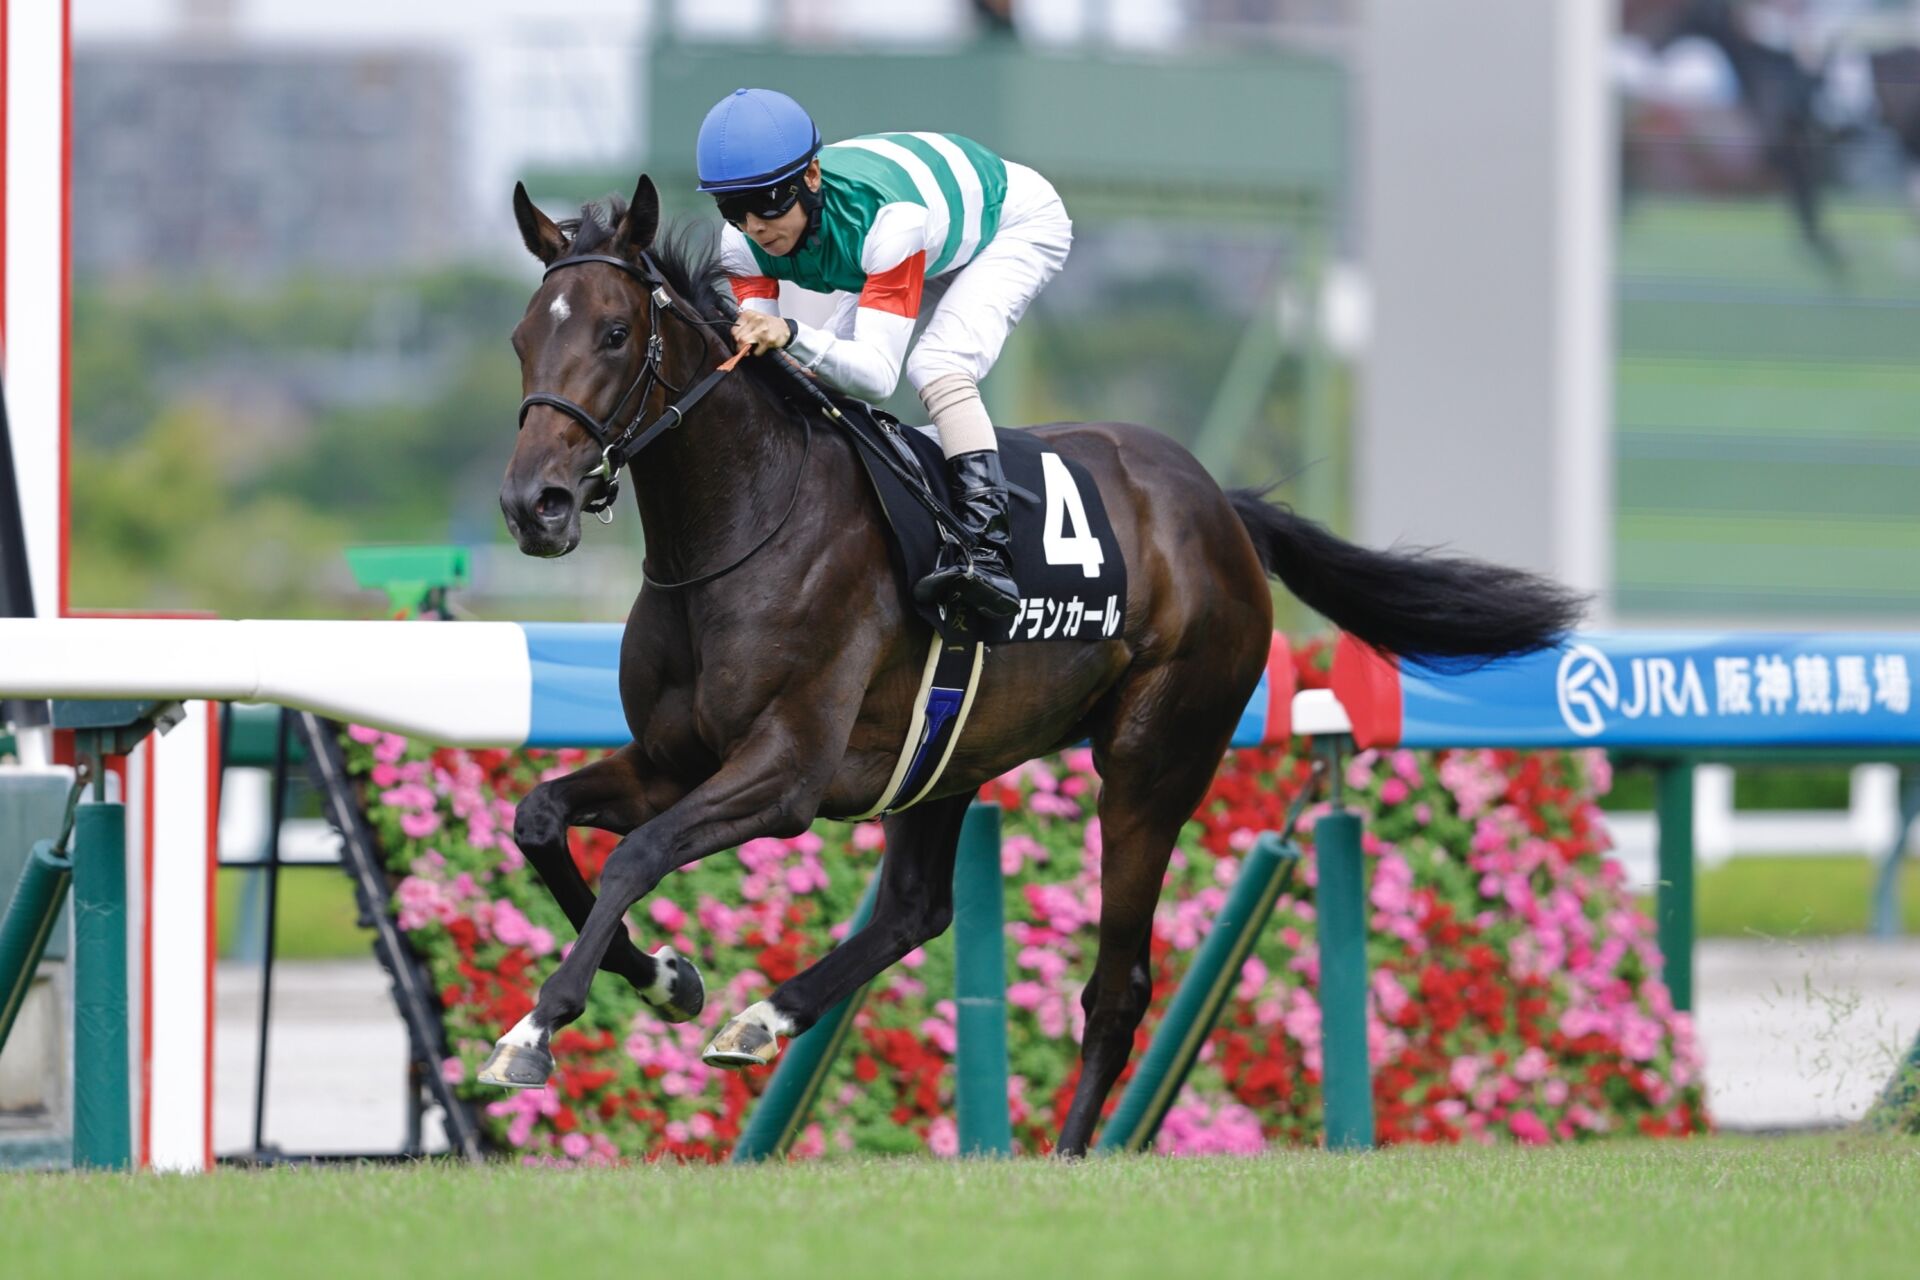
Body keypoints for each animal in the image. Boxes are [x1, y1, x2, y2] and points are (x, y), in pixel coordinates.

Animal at [488, 174, 1586, 1156]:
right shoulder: (673, 756)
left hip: (1151, 764)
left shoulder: (785, 771)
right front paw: (668, 978)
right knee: (918, 907)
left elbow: (637, 854)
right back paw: (766, 1017)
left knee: (1118, 983)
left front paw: (538, 1026)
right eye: (522, 338)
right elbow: (542, 818)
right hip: (946, 755)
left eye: (615, 334)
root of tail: (1223, 509)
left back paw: (1065, 1153)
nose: (533, 504)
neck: (743, 530)